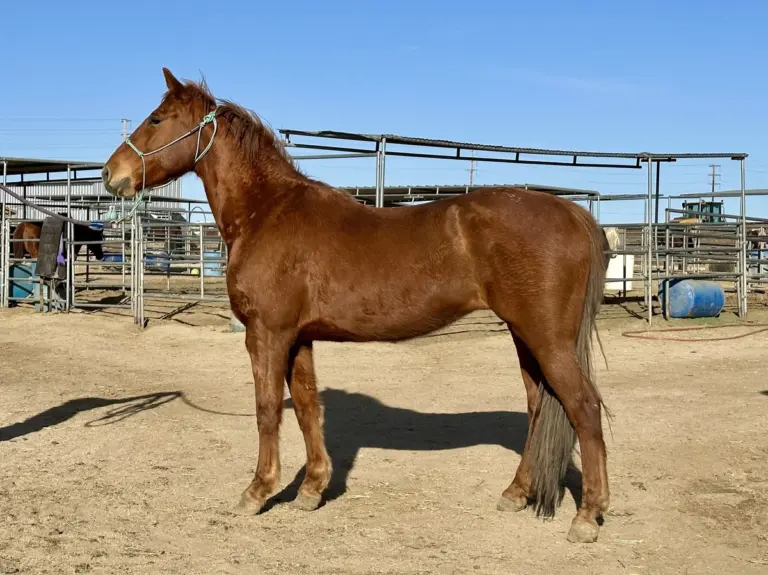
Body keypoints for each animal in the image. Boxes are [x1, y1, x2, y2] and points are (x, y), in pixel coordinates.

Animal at [101, 68, 611, 544]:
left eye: (156, 119)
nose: (110, 175)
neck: (268, 212)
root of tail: (572, 213)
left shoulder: (267, 333)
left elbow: (267, 410)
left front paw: (257, 492)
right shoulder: (299, 338)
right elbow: (307, 408)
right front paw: (311, 490)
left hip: (547, 338)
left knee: (584, 407)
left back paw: (588, 516)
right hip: (525, 336)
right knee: (539, 406)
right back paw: (516, 494)